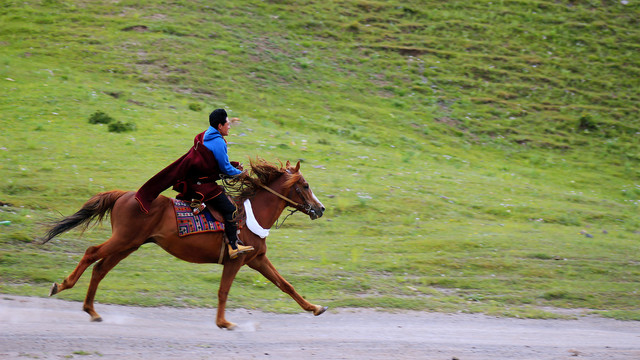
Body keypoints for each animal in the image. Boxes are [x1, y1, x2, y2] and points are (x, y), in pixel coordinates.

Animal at [42, 159, 328, 328]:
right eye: (305, 185)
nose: (320, 208)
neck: (251, 214)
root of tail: (124, 195)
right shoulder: (236, 260)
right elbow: (223, 291)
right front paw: (223, 322)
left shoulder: (257, 259)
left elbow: (286, 285)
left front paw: (315, 307)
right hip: (123, 239)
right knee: (91, 253)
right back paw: (62, 286)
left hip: (129, 244)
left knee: (100, 268)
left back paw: (92, 310)